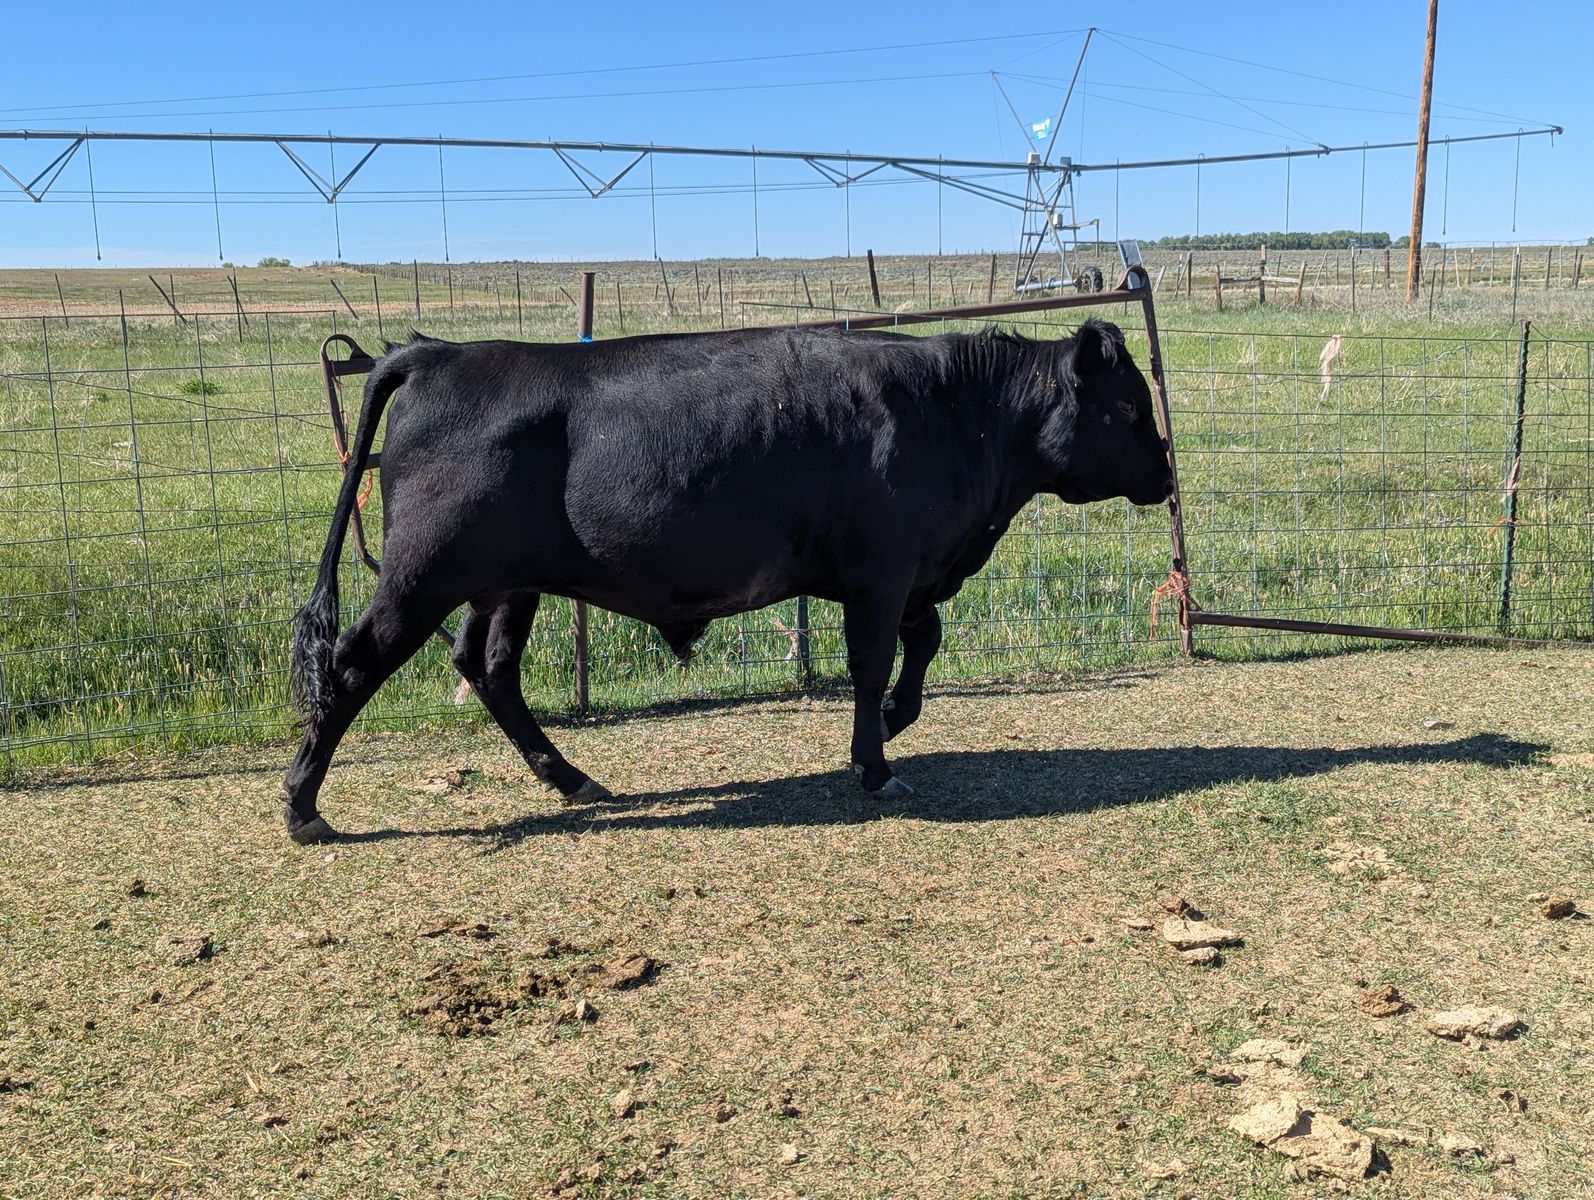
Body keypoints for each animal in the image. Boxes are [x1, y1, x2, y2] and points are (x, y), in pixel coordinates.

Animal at [283, 319, 1173, 844]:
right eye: (1132, 408)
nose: (1167, 473)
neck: (956, 409)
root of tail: (436, 351)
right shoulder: (883, 572)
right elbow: (874, 661)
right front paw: (875, 762)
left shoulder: (912, 574)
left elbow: (921, 648)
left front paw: (895, 720)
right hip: (420, 577)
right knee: (353, 667)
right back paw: (302, 805)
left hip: (504, 584)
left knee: (487, 667)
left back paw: (572, 778)